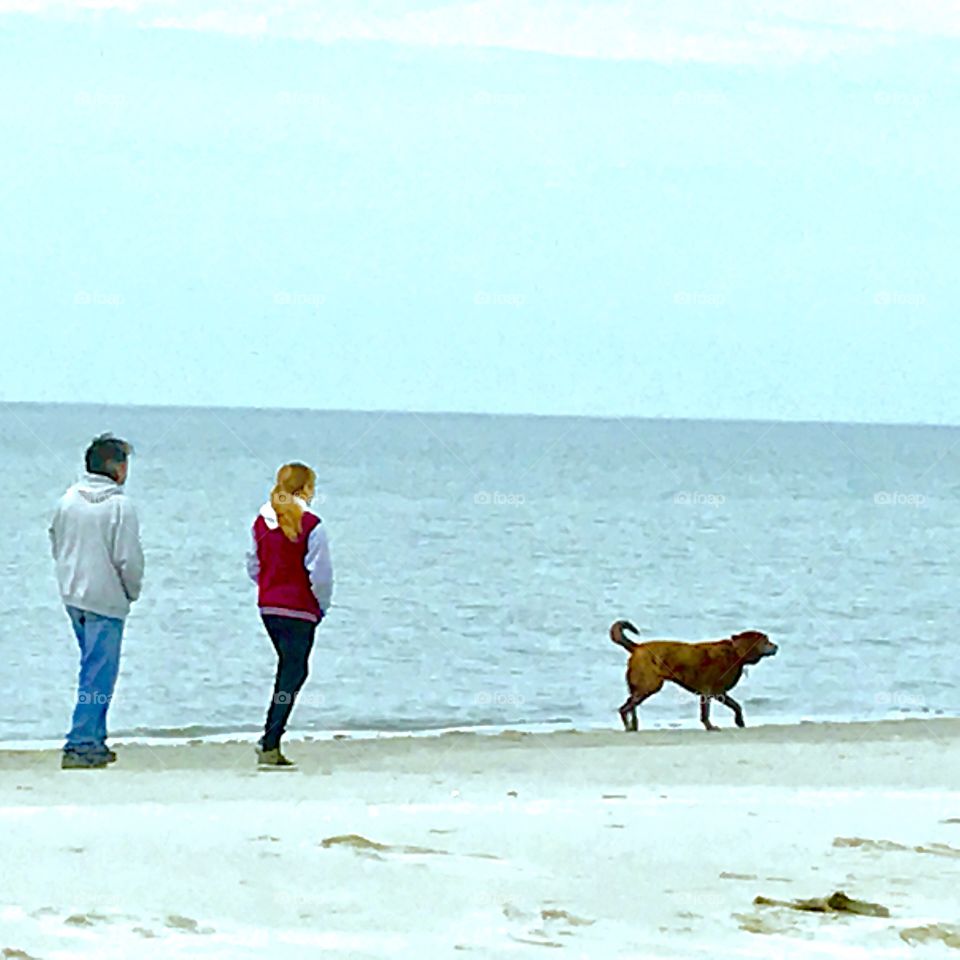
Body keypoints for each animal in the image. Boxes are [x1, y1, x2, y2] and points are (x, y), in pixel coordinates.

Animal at [612, 620, 776, 732]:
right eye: (766, 641)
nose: (776, 646)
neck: (736, 653)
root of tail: (636, 647)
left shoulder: (720, 692)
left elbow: (736, 706)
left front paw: (740, 722)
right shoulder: (709, 692)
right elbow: (706, 713)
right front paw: (710, 727)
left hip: (641, 688)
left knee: (631, 705)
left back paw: (634, 726)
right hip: (649, 686)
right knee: (624, 708)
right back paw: (628, 727)